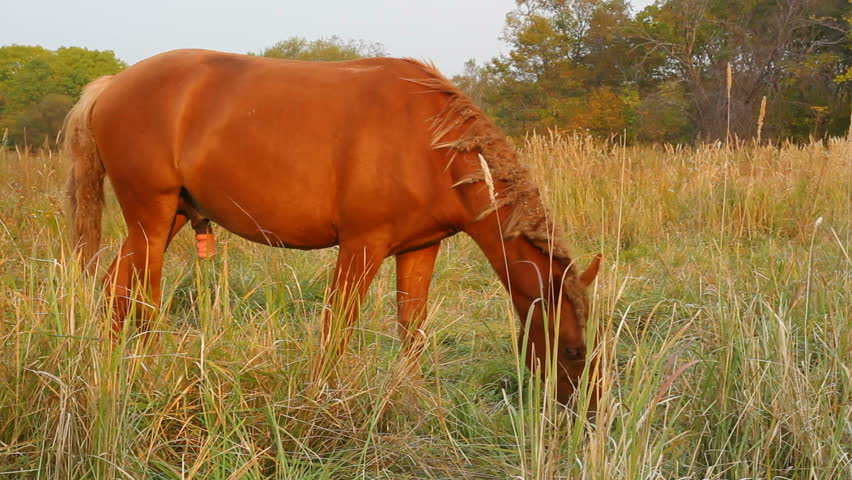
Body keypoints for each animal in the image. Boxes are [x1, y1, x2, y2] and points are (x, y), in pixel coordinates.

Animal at [64, 49, 601, 404]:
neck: (432, 146)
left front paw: (408, 399)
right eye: (573, 350)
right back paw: (144, 373)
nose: (585, 417)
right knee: (141, 298)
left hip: (168, 217)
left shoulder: (420, 249)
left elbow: (412, 329)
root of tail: (111, 85)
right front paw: (319, 401)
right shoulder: (361, 247)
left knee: (115, 287)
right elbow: (336, 329)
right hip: (151, 218)